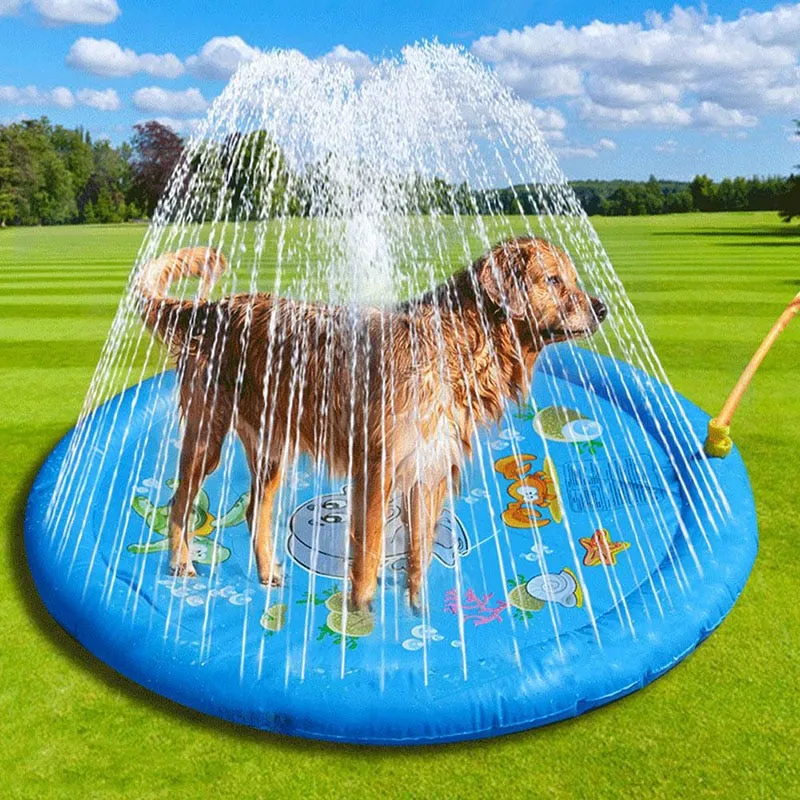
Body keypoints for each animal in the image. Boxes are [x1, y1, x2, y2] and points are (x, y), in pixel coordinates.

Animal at [136, 236, 608, 608]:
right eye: (553, 280)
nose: (602, 307)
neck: (457, 343)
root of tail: (211, 307)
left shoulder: (428, 470)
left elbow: (418, 552)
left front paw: (416, 608)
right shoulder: (376, 468)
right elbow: (367, 557)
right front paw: (362, 618)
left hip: (272, 445)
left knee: (255, 509)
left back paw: (268, 571)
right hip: (207, 436)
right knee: (180, 501)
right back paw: (181, 562)